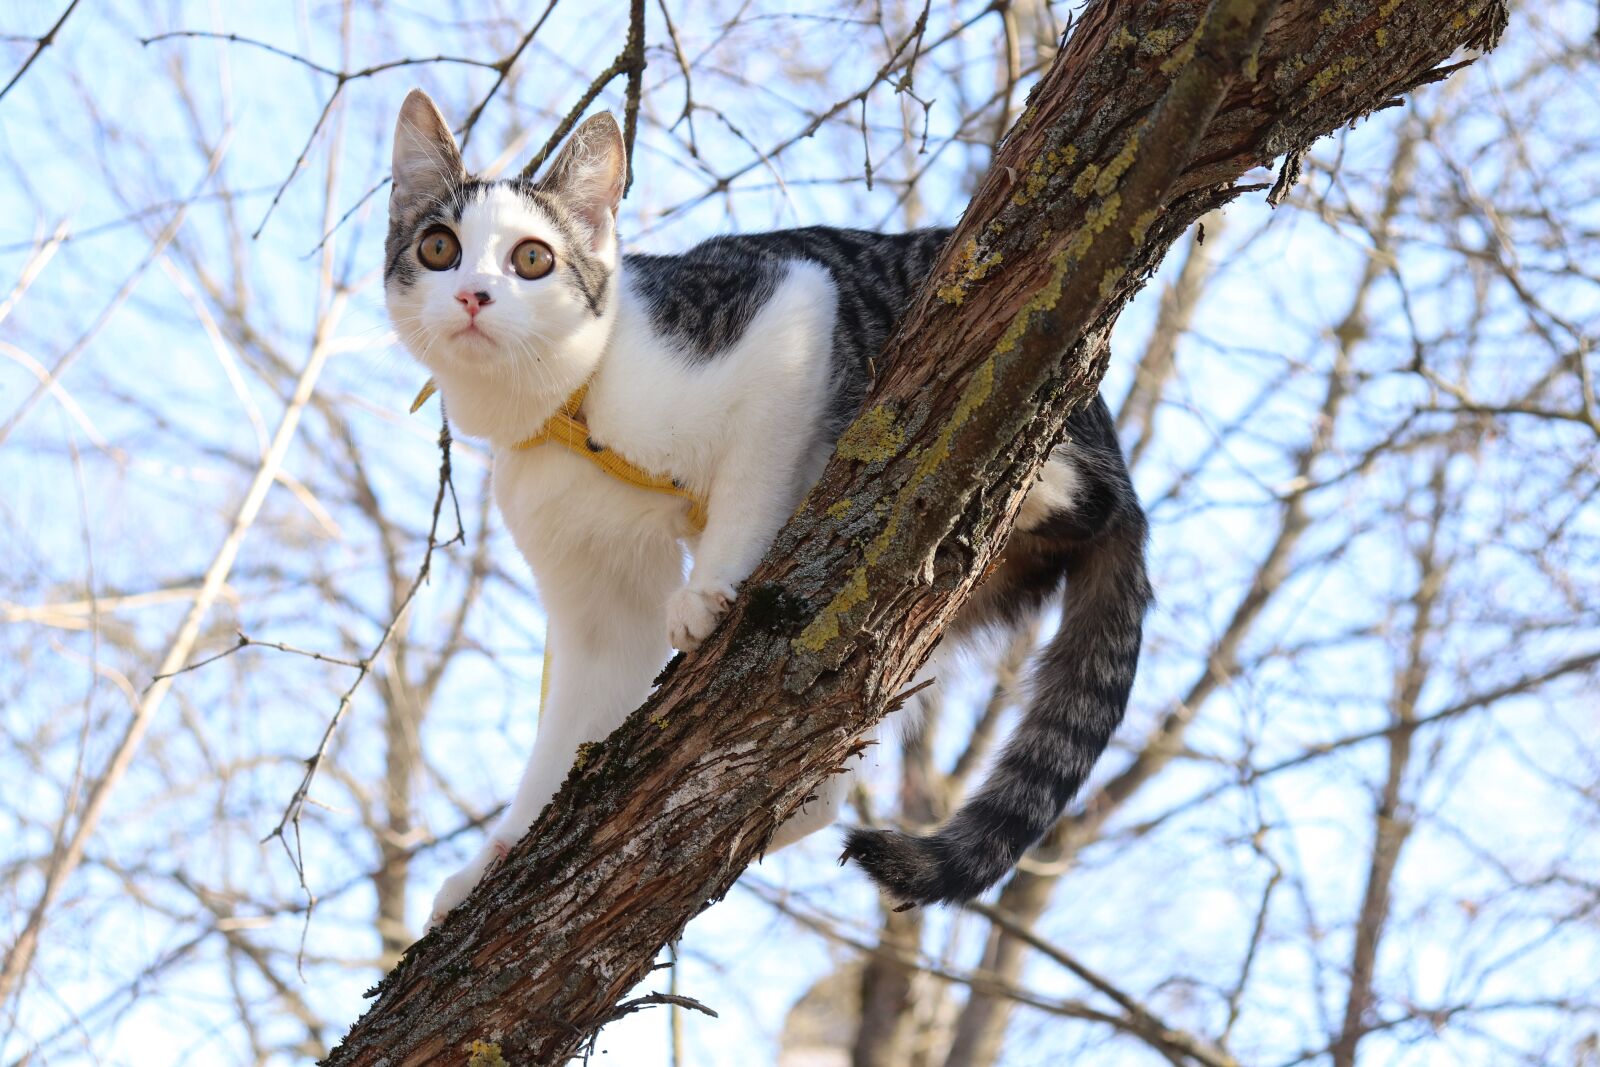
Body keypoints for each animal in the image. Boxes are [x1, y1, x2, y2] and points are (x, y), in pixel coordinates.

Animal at [380, 89, 1145, 927]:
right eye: (439, 248)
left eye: (531, 259)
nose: (473, 296)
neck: (569, 399)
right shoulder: (594, 592)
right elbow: (581, 707)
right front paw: (495, 859)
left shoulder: (787, 312)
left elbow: (751, 481)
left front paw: (708, 592)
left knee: (1077, 484)